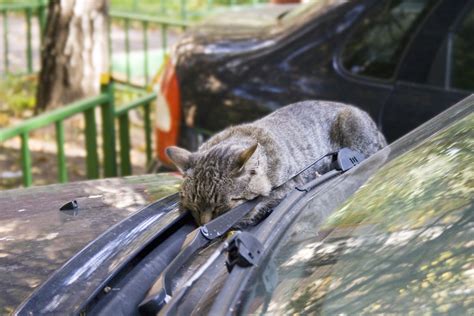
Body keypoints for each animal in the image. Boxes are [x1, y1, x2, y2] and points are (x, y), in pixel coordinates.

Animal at [165, 100, 386, 226]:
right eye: (194, 207)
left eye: (221, 207)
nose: (203, 225)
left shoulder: (289, 186)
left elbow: (261, 203)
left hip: (353, 123)